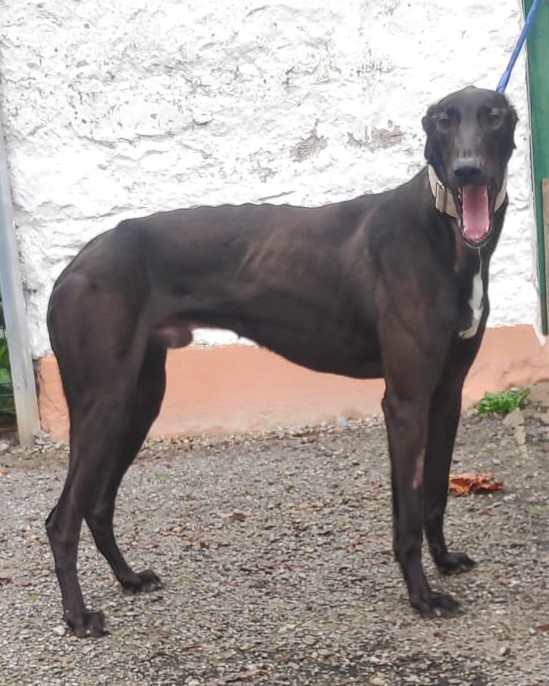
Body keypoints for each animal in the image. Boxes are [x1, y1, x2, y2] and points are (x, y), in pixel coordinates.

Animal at [45, 86, 517, 637]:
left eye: (494, 116)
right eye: (444, 120)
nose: (468, 171)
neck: (445, 233)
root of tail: (73, 266)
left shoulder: (445, 394)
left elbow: (435, 496)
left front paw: (444, 563)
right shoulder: (405, 400)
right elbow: (407, 515)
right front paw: (422, 597)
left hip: (140, 400)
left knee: (97, 505)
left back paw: (128, 578)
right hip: (105, 402)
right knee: (61, 519)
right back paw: (78, 616)